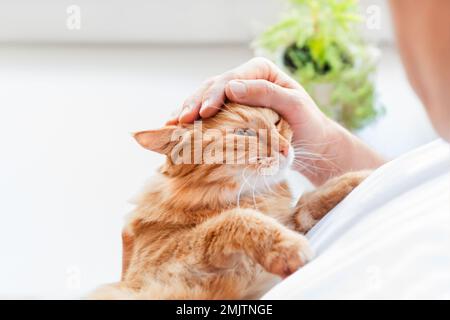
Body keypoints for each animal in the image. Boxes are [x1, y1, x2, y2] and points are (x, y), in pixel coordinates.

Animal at [89, 104, 368, 298]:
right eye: (245, 133)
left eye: (277, 121)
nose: (285, 148)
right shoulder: (160, 269)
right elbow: (231, 220)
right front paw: (288, 248)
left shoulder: (289, 216)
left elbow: (309, 203)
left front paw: (361, 177)